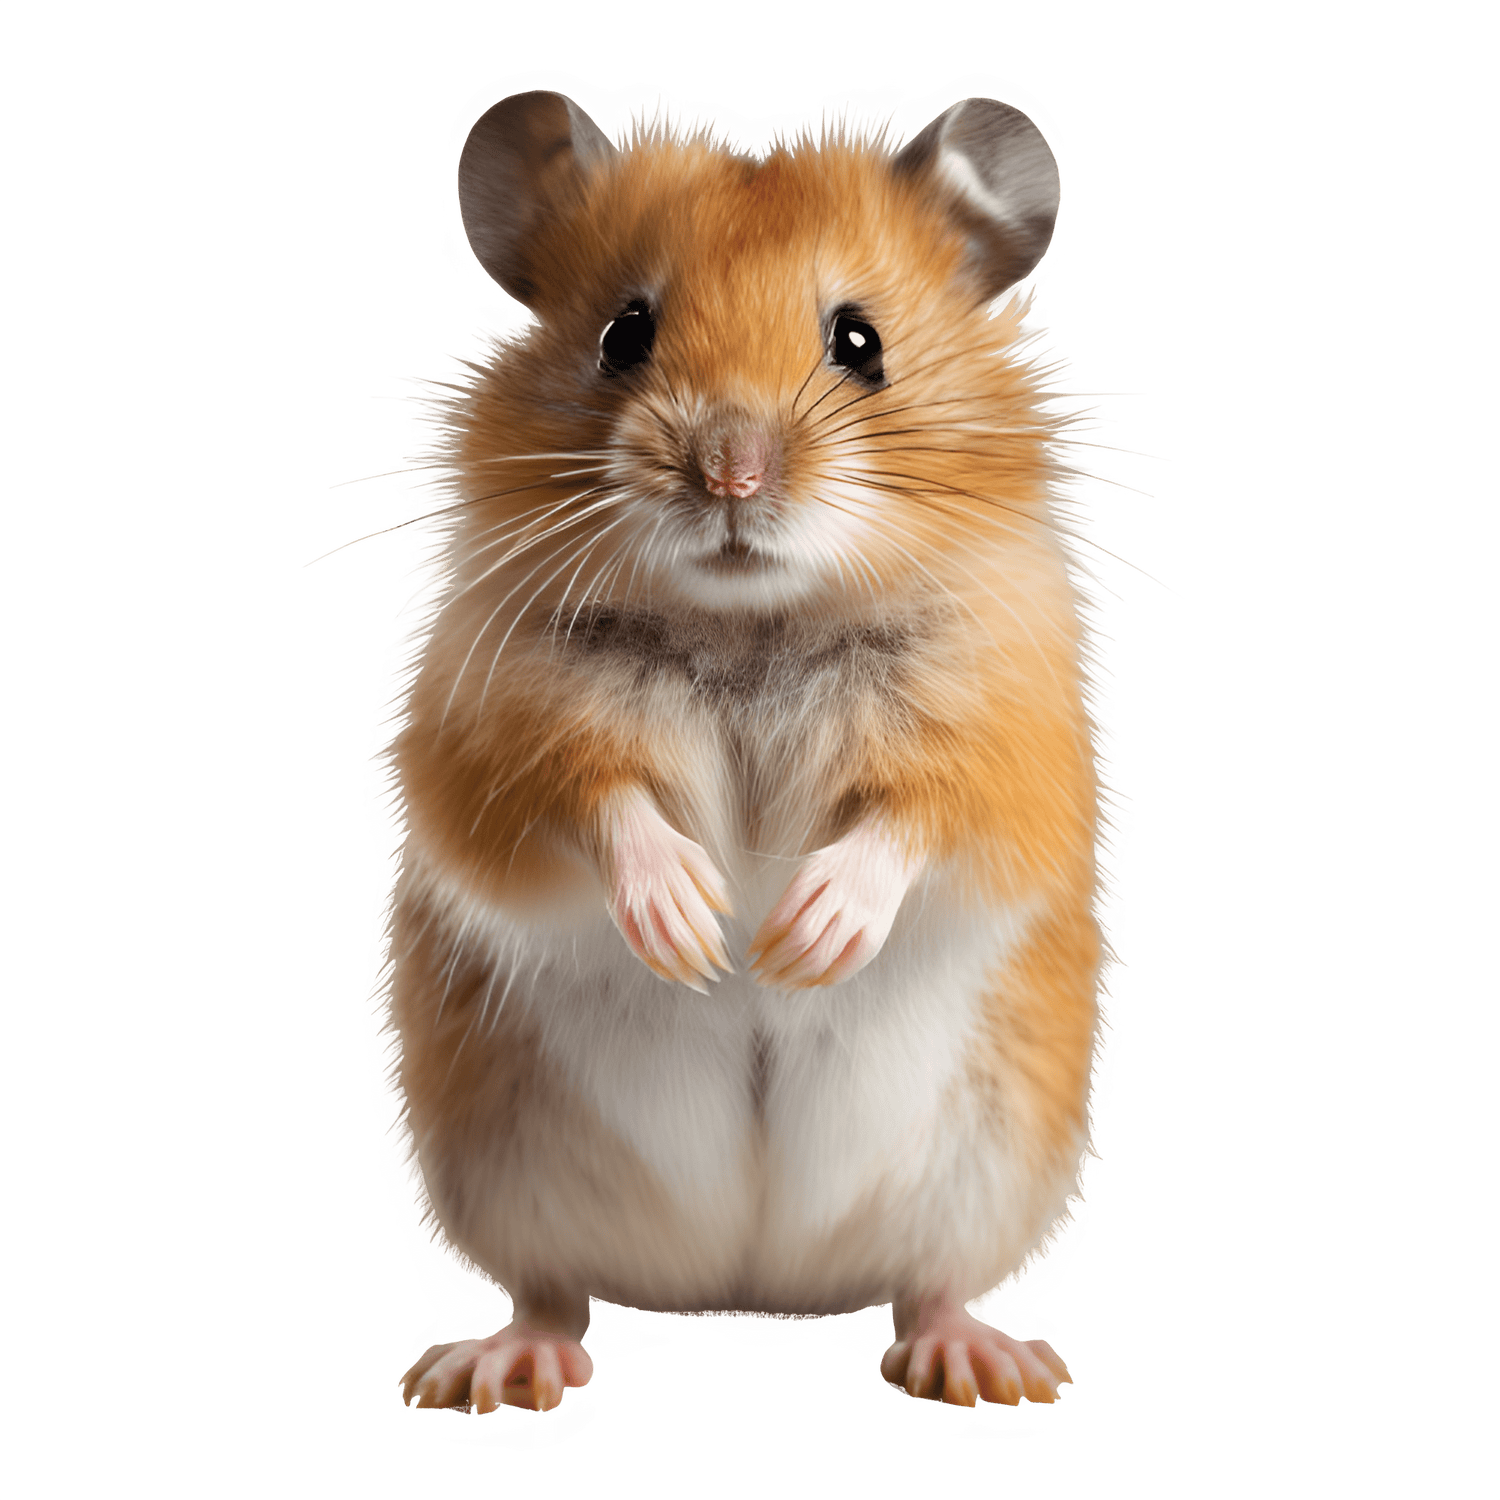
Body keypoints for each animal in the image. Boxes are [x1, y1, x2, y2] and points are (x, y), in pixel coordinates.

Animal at [372, 87, 1117, 1417]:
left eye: (860, 341)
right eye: (624, 333)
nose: (730, 472)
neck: (751, 626)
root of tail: (751, 1295)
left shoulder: (1011, 744)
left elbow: (913, 818)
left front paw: (794, 944)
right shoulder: (486, 737)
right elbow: (598, 799)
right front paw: (698, 932)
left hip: (992, 1171)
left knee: (932, 1284)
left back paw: (989, 1369)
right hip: (498, 1168)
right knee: (551, 1289)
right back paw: (496, 1373)